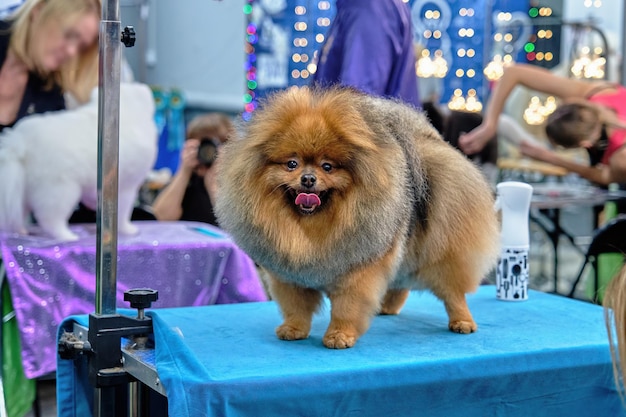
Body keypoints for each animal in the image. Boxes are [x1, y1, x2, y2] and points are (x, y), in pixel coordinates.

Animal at [0, 82, 157, 240]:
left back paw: (21, 231)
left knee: (19, 213)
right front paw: (128, 229)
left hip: (21, 189)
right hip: (61, 189)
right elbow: (123, 212)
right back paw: (67, 236)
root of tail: (21, 141)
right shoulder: (126, 187)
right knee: (50, 218)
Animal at [214, 87, 498, 348]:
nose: (308, 178)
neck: (313, 227)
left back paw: (462, 322)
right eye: (291, 164)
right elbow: (296, 307)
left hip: (441, 255)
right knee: (400, 281)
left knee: (453, 292)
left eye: (327, 166)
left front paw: (339, 336)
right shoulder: (290, 277)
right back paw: (387, 307)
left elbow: (346, 308)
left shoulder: (357, 275)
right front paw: (293, 329)